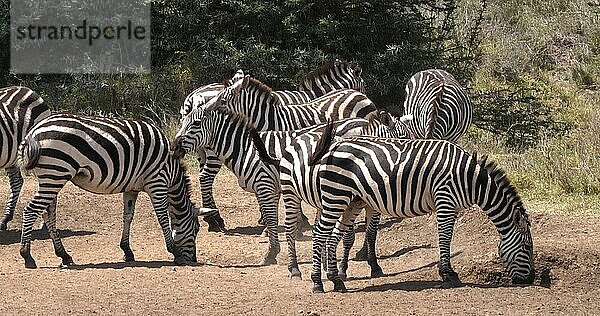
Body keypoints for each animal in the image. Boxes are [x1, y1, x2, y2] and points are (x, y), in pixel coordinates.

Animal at [17, 114, 204, 270]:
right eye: (196, 229)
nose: (193, 259)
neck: (172, 171)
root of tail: (33, 131)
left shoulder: (131, 188)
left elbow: (128, 216)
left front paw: (127, 251)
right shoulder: (157, 182)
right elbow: (163, 218)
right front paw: (175, 252)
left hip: (51, 178)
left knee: (48, 214)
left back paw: (64, 255)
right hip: (55, 174)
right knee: (31, 210)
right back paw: (27, 256)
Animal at [180, 60, 366, 232]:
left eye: (223, 100)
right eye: (363, 85)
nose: (207, 110)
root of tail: (193, 97)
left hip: (202, 150)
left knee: (203, 177)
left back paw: (212, 217)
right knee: (205, 177)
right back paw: (214, 220)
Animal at [308, 127, 536, 292]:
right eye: (526, 248)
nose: (530, 279)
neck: (471, 180)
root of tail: (334, 145)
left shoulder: (451, 205)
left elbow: (446, 238)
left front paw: (448, 273)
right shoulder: (445, 200)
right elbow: (445, 238)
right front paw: (448, 274)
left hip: (351, 201)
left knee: (333, 236)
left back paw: (336, 280)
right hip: (335, 196)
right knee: (319, 234)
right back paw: (317, 283)